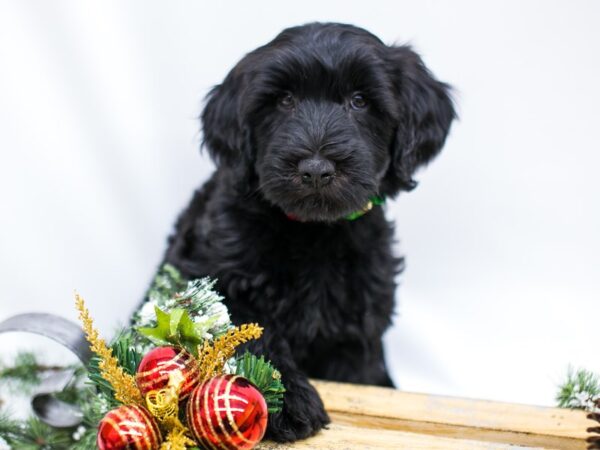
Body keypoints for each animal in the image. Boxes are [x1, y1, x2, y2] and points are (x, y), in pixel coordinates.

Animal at [162, 22, 452, 442]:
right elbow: (249, 334)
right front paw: (287, 401)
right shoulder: (215, 285)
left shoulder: (357, 332)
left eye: (359, 101)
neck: (315, 233)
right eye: (284, 101)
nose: (316, 170)